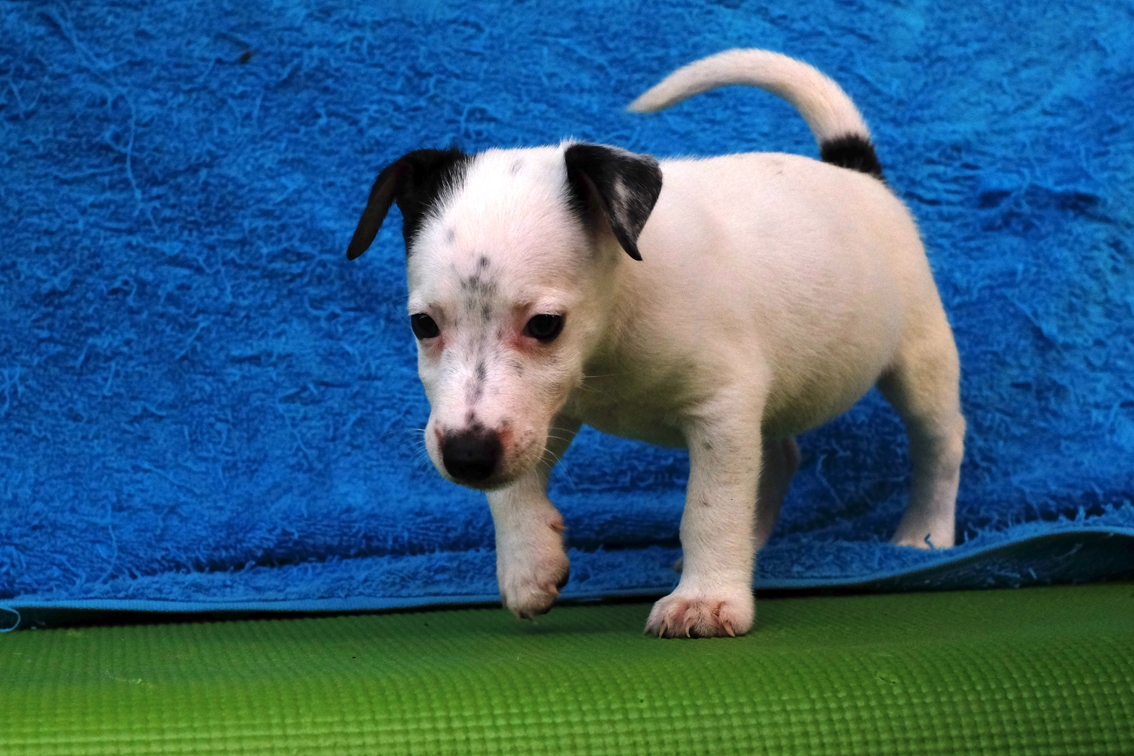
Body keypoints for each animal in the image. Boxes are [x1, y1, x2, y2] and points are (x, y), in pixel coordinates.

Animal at [346, 49, 965, 638]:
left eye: (545, 325)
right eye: (423, 325)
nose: (466, 459)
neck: (618, 320)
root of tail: (858, 174)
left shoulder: (720, 412)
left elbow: (710, 509)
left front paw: (707, 599)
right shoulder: (546, 413)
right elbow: (511, 485)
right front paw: (528, 562)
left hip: (920, 360)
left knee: (940, 443)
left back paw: (925, 533)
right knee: (778, 458)